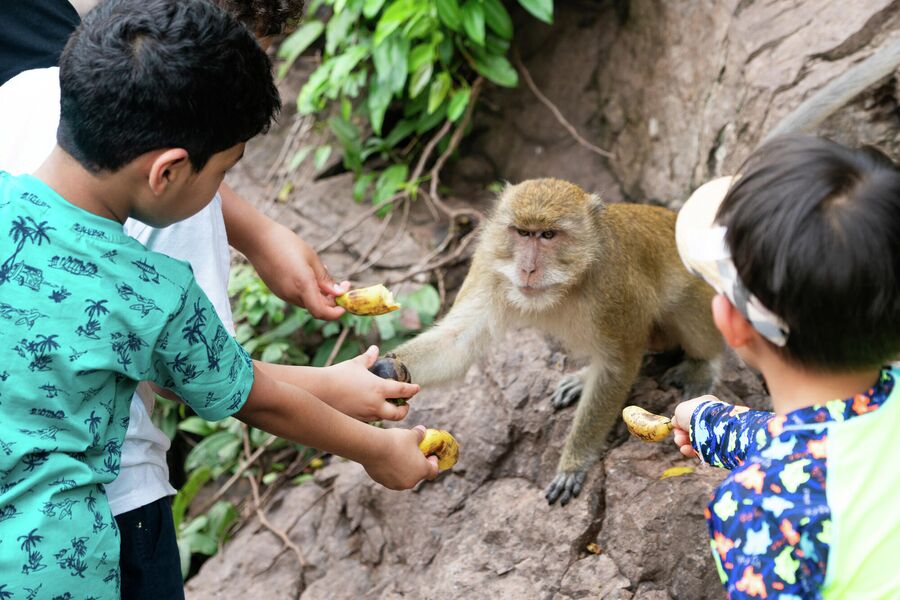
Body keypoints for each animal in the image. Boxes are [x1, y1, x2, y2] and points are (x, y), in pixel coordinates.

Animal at [380, 179, 724, 506]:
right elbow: (458, 342)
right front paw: (381, 371)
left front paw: (574, 463)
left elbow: (619, 363)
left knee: (686, 301)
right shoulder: (489, 265)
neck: (570, 280)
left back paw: (703, 365)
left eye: (547, 235)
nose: (527, 268)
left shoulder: (612, 285)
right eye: (522, 233)